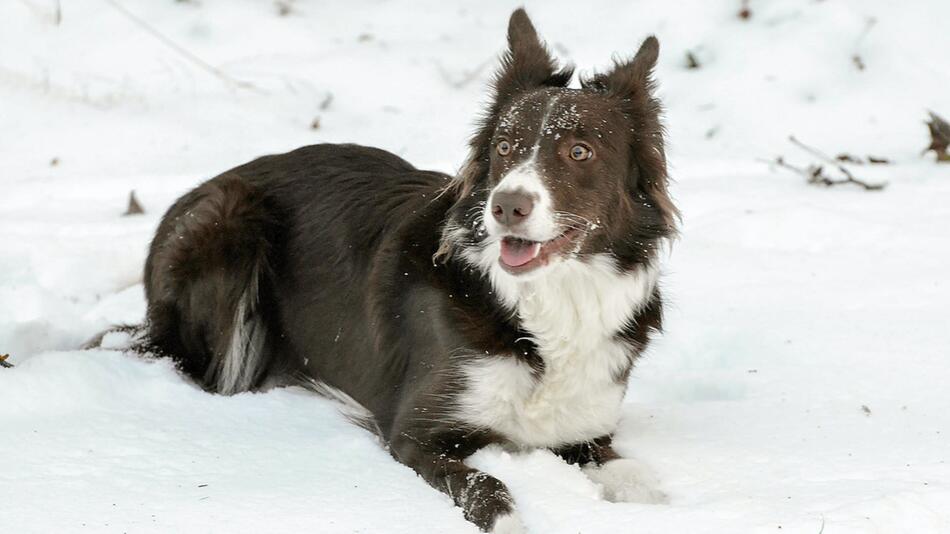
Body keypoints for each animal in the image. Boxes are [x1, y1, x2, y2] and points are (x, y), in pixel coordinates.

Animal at [139, 9, 676, 534]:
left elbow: (637, 476)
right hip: (230, 223)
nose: (506, 207)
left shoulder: (587, 431)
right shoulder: (417, 434)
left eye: (579, 151)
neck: (543, 303)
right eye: (504, 148)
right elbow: (487, 486)